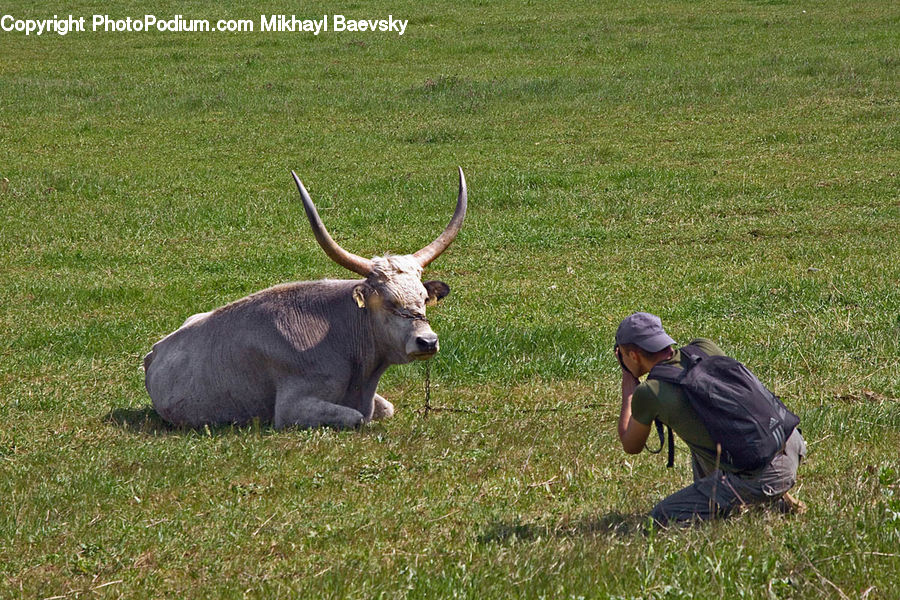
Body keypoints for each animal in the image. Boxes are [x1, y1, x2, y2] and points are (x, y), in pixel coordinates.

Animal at [144, 168, 467, 429]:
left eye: (423, 298)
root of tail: (155, 351)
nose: (427, 341)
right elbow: (356, 418)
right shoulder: (291, 408)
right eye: (387, 301)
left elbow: (387, 408)